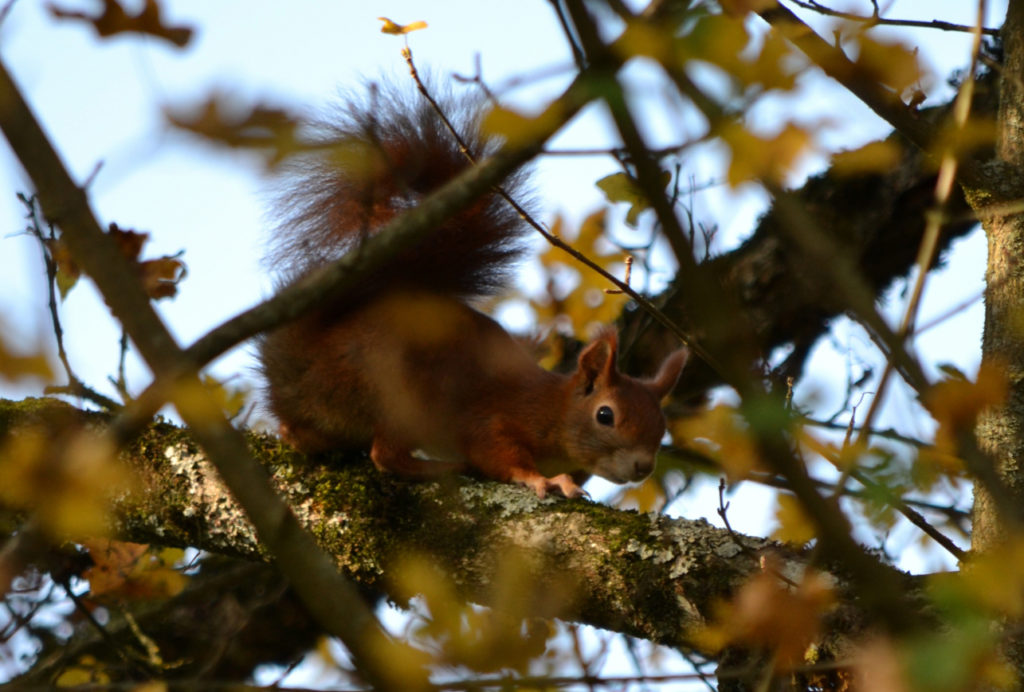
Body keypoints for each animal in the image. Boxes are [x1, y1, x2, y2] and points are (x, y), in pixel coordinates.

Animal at [258, 88, 688, 497]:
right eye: (605, 415)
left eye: (661, 424)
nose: (643, 467)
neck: (554, 410)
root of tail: (300, 355)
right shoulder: (497, 419)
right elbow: (498, 454)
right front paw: (545, 480)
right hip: (399, 392)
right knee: (387, 455)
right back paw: (445, 467)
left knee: (299, 435)